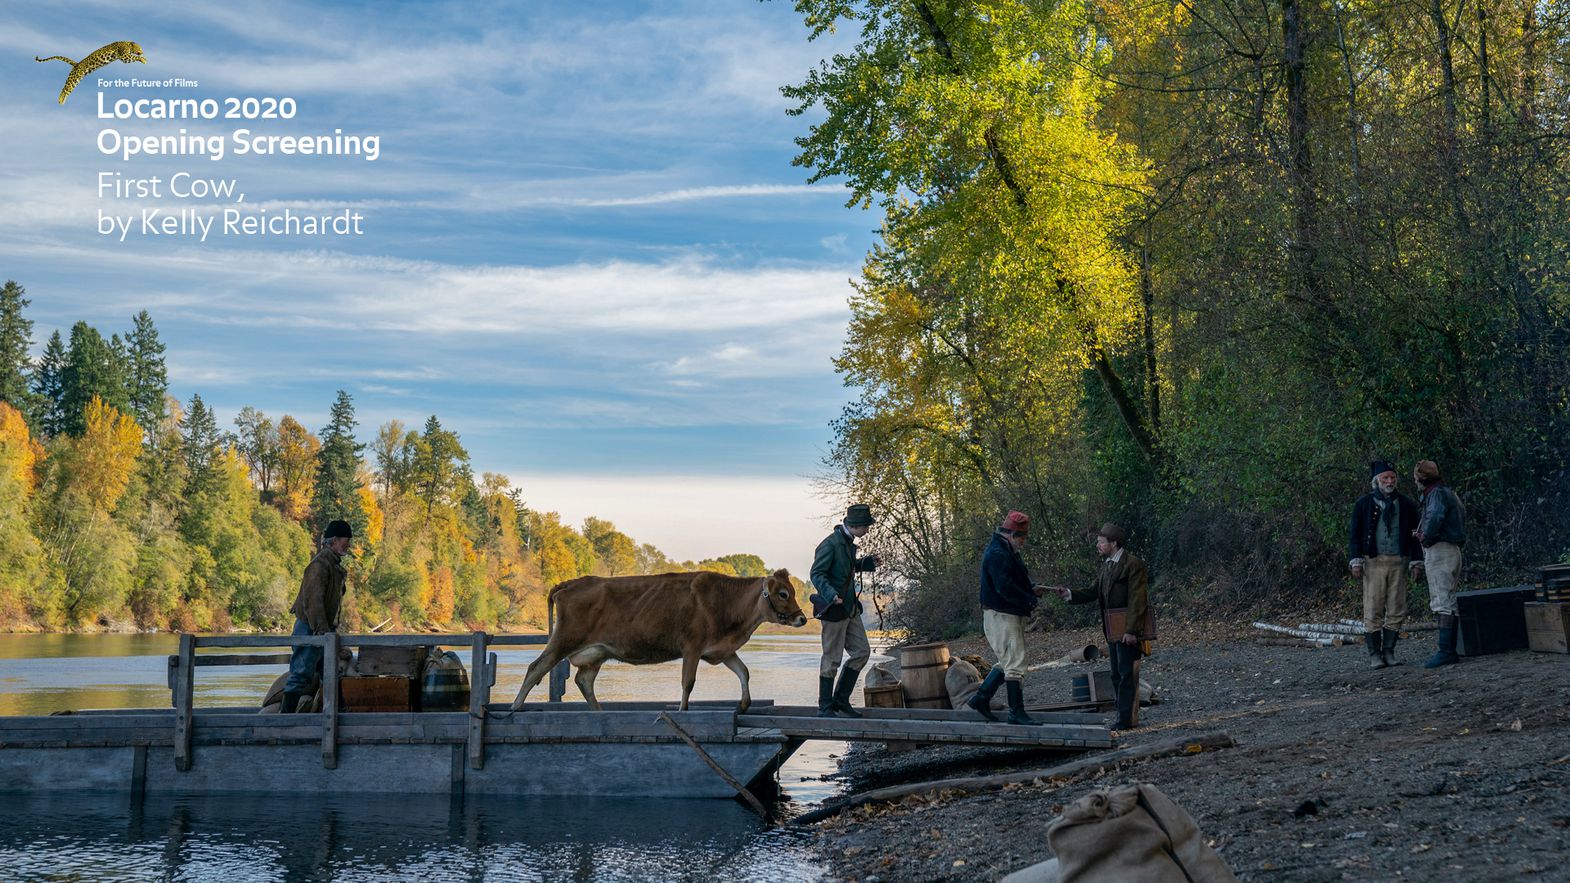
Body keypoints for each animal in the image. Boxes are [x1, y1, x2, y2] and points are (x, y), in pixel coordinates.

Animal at [508, 568, 808, 713]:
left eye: (792, 591)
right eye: (782, 593)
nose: (802, 618)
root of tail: (570, 583)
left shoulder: (721, 650)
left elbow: (744, 672)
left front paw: (744, 705)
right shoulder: (692, 646)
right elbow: (688, 682)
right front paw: (682, 710)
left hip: (595, 653)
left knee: (584, 681)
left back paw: (598, 711)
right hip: (564, 639)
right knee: (536, 667)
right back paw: (515, 707)